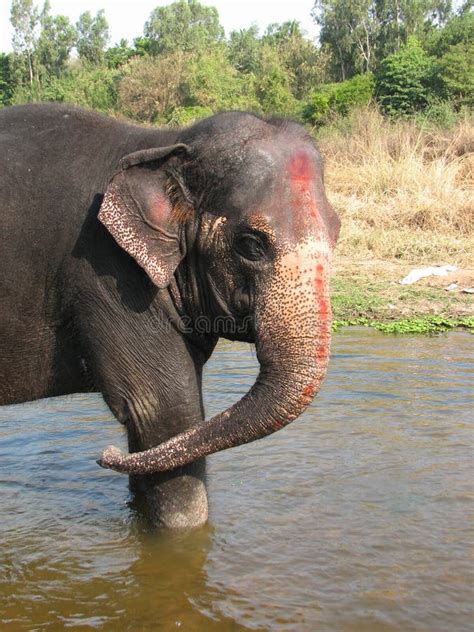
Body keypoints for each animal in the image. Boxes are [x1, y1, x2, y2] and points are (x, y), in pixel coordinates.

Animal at [0, 103, 340, 528]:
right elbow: (167, 412)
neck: (163, 143)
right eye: (251, 245)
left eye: (337, 233)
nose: (105, 454)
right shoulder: (107, 274)